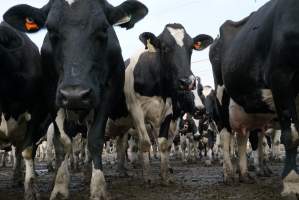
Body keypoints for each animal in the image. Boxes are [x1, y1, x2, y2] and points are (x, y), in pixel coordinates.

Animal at [3, 0, 149, 199]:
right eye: (50, 30)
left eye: (104, 28)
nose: (75, 95)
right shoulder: (53, 94)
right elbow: (63, 144)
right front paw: (59, 187)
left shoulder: (108, 92)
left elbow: (95, 140)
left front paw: (98, 187)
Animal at [209, 0, 299, 197]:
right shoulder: (281, 78)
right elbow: (292, 136)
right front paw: (292, 183)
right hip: (221, 97)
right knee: (226, 136)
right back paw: (229, 174)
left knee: (243, 138)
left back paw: (244, 174)